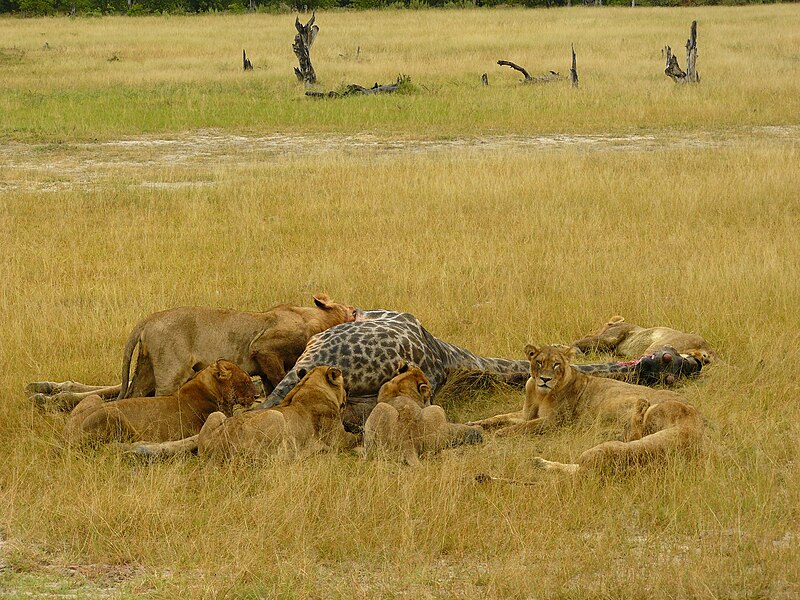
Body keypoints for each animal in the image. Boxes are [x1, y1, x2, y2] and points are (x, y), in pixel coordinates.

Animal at [130, 366, 360, 460]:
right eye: (345, 385)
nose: (349, 392)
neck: (309, 385)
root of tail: (217, 446)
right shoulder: (337, 438)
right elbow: (357, 437)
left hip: (217, 416)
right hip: (275, 416)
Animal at [468, 344, 708, 476]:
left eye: (556, 364)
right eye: (539, 362)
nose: (545, 379)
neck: (539, 393)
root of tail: (695, 420)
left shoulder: (554, 421)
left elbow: (524, 427)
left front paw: (502, 433)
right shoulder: (525, 413)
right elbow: (501, 416)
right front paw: (476, 423)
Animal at [572, 316, 716, 364]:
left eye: (593, 330)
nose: (588, 333)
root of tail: (707, 349)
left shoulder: (610, 337)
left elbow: (576, 342)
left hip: (657, 346)